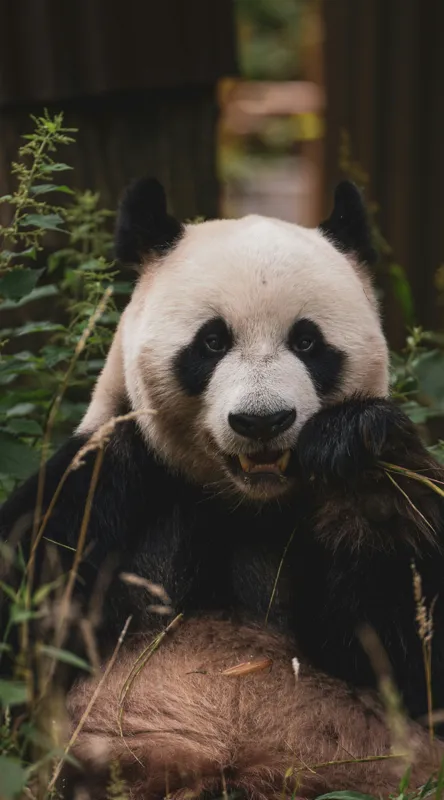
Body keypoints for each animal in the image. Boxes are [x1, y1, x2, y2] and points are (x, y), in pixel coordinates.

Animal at [1, 178, 444, 799]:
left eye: (307, 342)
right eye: (211, 342)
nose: (262, 421)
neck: (245, 501)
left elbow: (412, 654)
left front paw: (359, 458)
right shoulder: (107, 479)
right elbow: (25, 607)